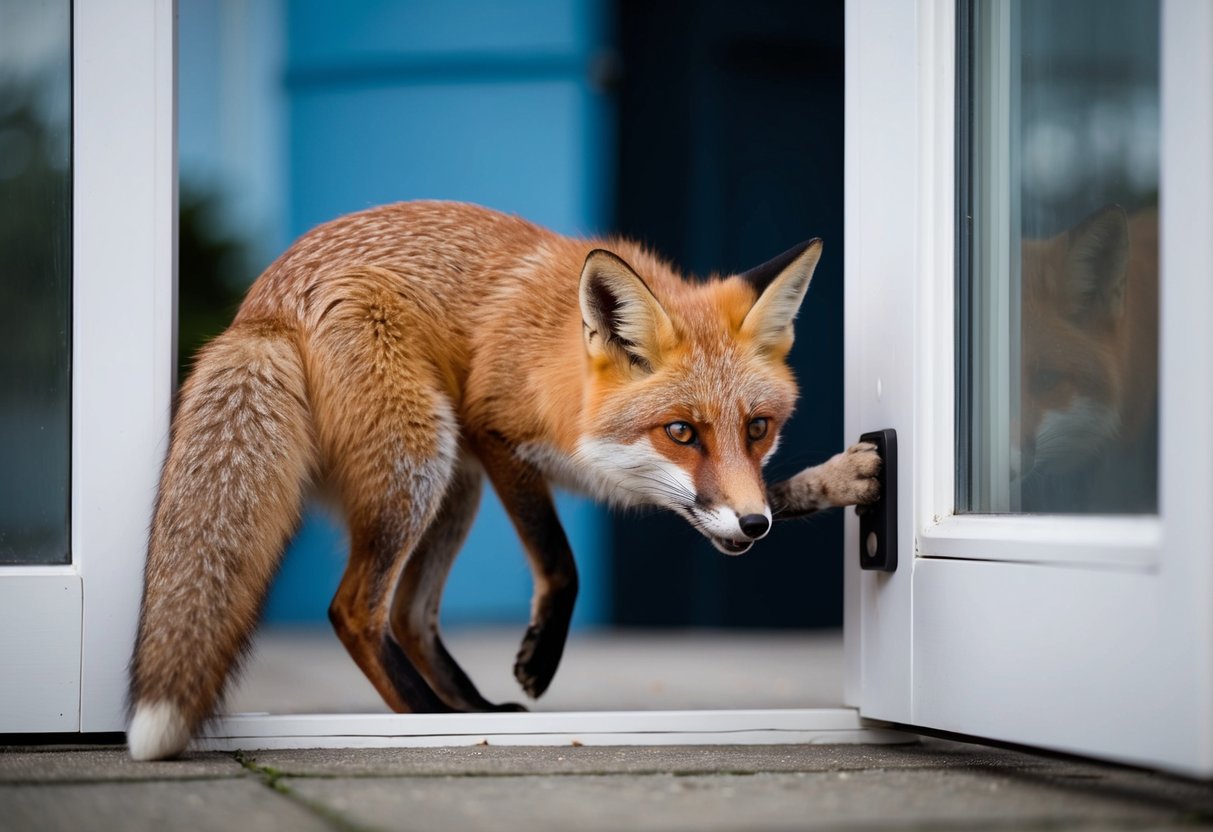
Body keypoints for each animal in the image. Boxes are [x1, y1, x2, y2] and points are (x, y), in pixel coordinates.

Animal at [127, 201, 881, 761]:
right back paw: (430, 720)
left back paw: (474, 710)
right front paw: (540, 660)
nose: (754, 528)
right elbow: (561, 561)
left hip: (451, 485)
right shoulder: (498, 436)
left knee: (409, 614)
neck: (556, 361)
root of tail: (259, 310)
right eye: (681, 432)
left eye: (757, 428)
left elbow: (771, 492)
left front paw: (847, 475)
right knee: (355, 610)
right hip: (425, 462)